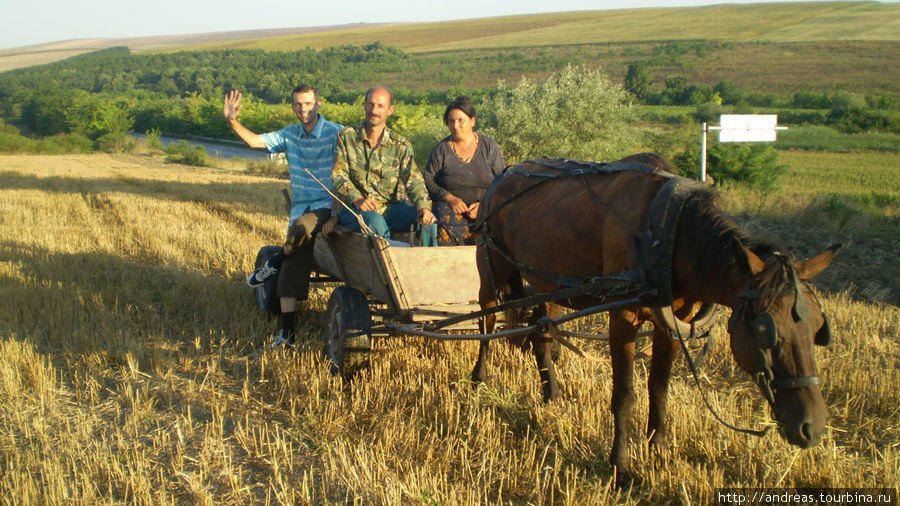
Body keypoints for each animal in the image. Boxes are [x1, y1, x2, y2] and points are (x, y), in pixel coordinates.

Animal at [474, 154, 840, 486]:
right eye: (765, 330)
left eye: (818, 329)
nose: (812, 427)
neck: (668, 234)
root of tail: (504, 174)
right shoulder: (623, 317)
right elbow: (624, 394)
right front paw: (621, 467)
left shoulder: (675, 321)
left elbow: (659, 387)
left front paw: (660, 451)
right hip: (492, 265)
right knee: (486, 321)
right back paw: (479, 377)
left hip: (549, 284)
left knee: (542, 334)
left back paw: (551, 394)